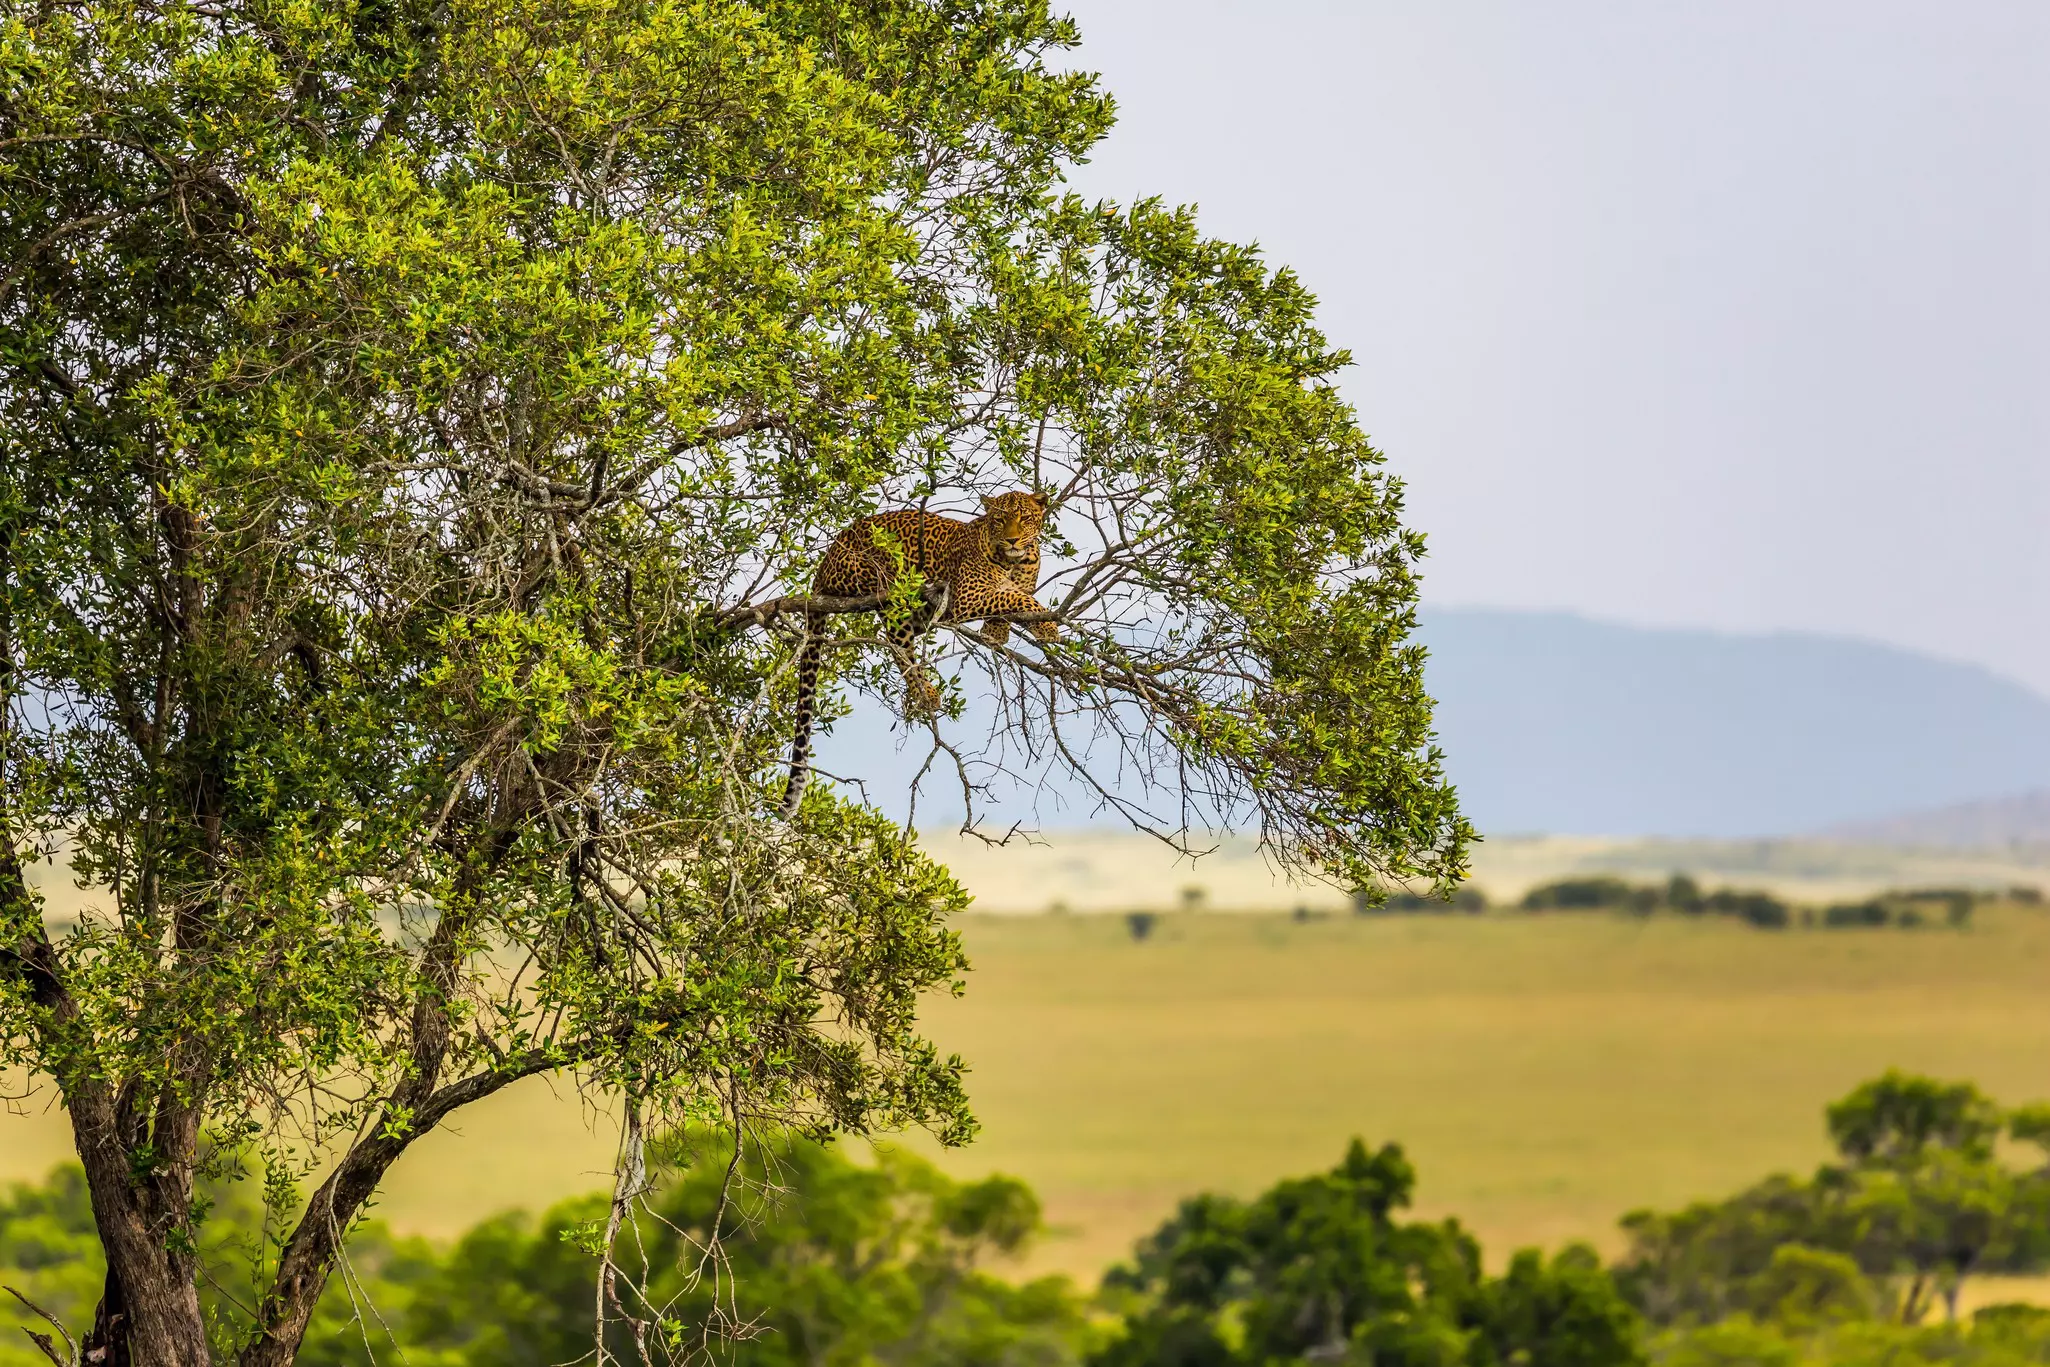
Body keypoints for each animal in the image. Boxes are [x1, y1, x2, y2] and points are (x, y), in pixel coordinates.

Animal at [780, 490, 1059, 817]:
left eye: (1024, 518)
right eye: (1000, 519)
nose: (1013, 540)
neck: (1014, 561)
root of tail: (825, 562)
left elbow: (1014, 598)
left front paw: (997, 632)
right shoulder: (968, 595)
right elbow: (1017, 598)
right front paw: (1048, 626)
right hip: (885, 585)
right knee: (897, 643)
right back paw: (927, 693)